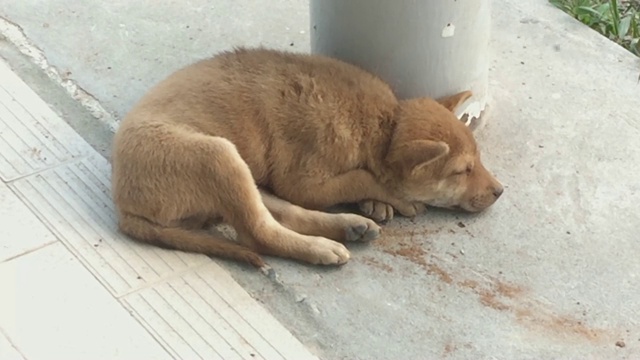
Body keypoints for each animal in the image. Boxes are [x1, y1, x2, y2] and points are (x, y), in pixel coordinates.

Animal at [111, 47, 504, 268]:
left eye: (479, 159)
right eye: (463, 170)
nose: (500, 191)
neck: (383, 125)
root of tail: (123, 206)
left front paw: (379, 204)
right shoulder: (302, 181)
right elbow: (362, 177)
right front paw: (393, 196)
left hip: (244, 175)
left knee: (280, 215)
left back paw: (349, 226)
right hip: (218, 155)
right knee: (258, 234)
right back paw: (322, 248)